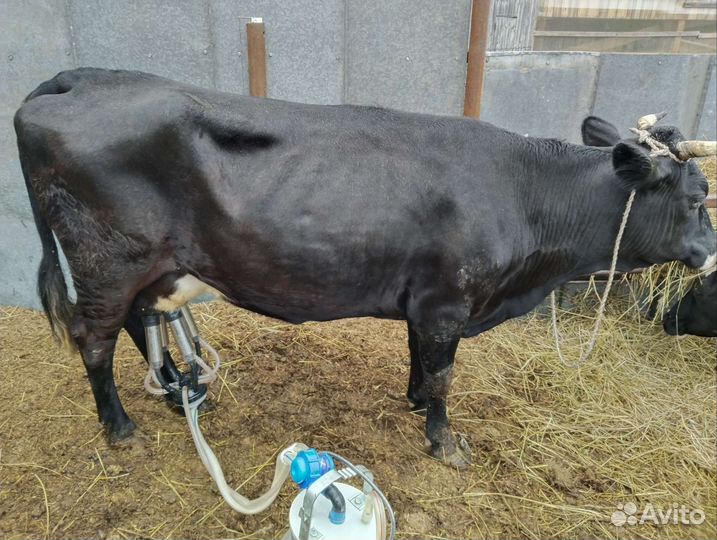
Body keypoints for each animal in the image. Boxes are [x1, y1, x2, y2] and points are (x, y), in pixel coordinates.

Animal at [15, 69, 716, 468]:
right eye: (697, 196)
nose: (711, 251)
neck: (526, 195)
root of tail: (80, 79)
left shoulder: (427, 302)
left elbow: (422, 361)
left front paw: (414, 402)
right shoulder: (447, 302)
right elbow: (446, 376)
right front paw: (444, 442)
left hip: (147, 267)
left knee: (137, 322)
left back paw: (175, 390)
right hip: (106, 260)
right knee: (94, 338)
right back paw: (121, 430)